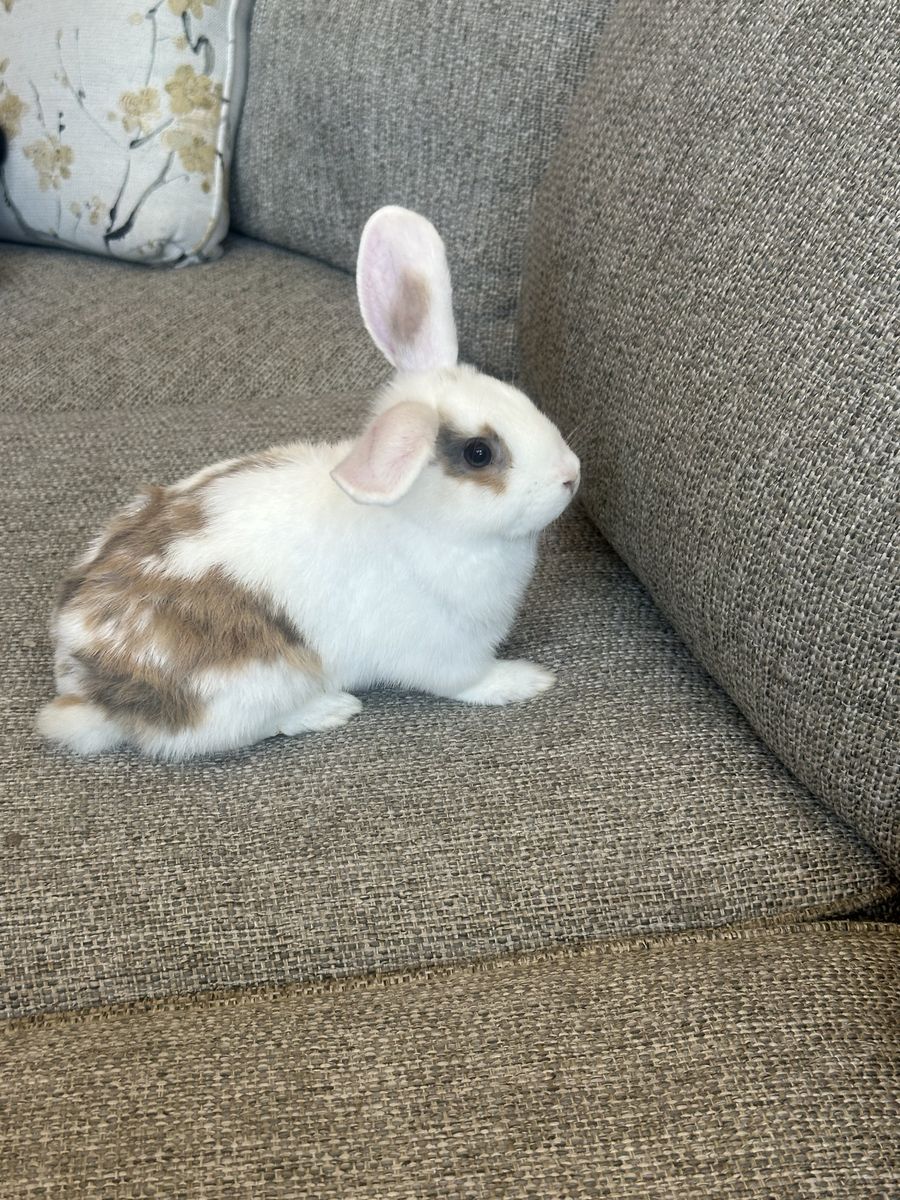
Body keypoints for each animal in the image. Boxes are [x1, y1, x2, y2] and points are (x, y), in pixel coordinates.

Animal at [37, 206, 581, 760]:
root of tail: (86, 692)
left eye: (518, 396)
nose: (571, 475)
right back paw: (328, 709)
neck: (423, 522)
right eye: (479, 453)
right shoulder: (446, 649)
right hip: (251, 685)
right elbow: (471, 681)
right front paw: (526, 680)